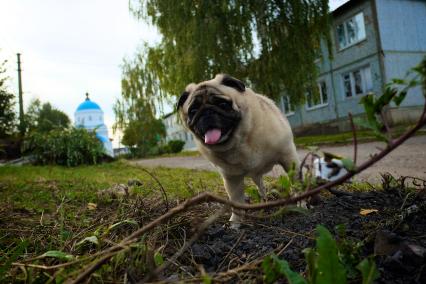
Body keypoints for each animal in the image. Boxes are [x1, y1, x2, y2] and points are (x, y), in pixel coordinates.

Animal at [176, 74, 300, 224]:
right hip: (255, 176)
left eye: (223, 104)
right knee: (260, 186)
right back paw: (264, 200)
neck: (240, 142)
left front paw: (302, 202)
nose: (206, 112)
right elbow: (236, 201)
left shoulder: (288, 157)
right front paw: (235, 222)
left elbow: (297, 181)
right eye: (193, 112)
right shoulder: (232, 179)